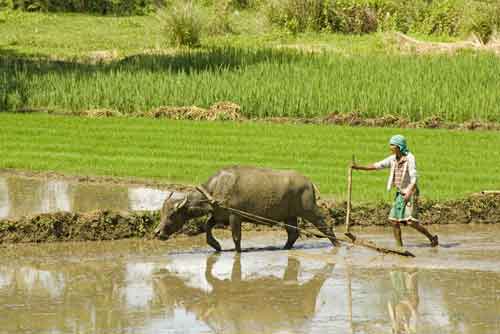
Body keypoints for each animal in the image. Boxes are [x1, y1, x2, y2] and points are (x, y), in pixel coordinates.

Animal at [154, 166, 338, 252]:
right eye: (162, 213)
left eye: (171, 215)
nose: (157, 232)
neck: (215, 189)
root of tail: (309, 183)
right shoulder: (219, 215)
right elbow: (207, 226)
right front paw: (216, 245)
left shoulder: (235, 217)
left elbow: (236, 237)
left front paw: (237, 251)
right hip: (289, 216)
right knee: (293, 233)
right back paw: (284, 248)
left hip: (309, 209)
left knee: (325, 224)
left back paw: (337, 244)